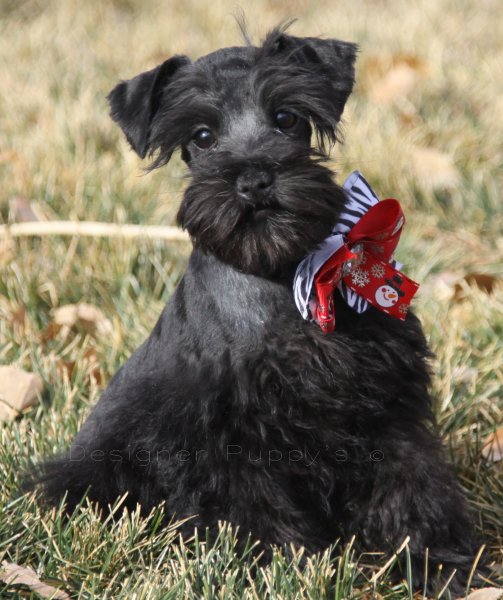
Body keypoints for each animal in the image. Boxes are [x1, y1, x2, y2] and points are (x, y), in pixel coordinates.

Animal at [31, 27, 480, 592]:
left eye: (286, 117)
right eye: (202, 136)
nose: (254, 178)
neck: (281, 278)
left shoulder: (389, 404)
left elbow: (413, 485)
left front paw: (440, 562)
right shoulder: (227, 436)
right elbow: (255, 510)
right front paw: (287, 567)